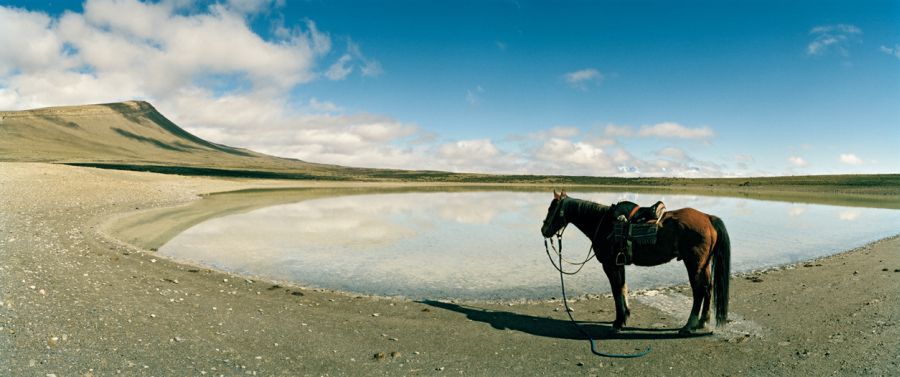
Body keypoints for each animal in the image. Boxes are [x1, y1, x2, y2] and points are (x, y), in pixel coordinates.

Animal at [536, 189, 728, 334]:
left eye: (551, 208)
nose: (543, 230)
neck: (603, 223)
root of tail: (708, 218)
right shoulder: (619, 264)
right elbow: (623, 288)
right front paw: (625, 316)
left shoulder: (610, 265)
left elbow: (616, 291)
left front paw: (618, 322)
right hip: (704, 265)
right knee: (708, 288)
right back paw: (703, 321)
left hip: (694, 264)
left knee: (699, 291)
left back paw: (689, 325)